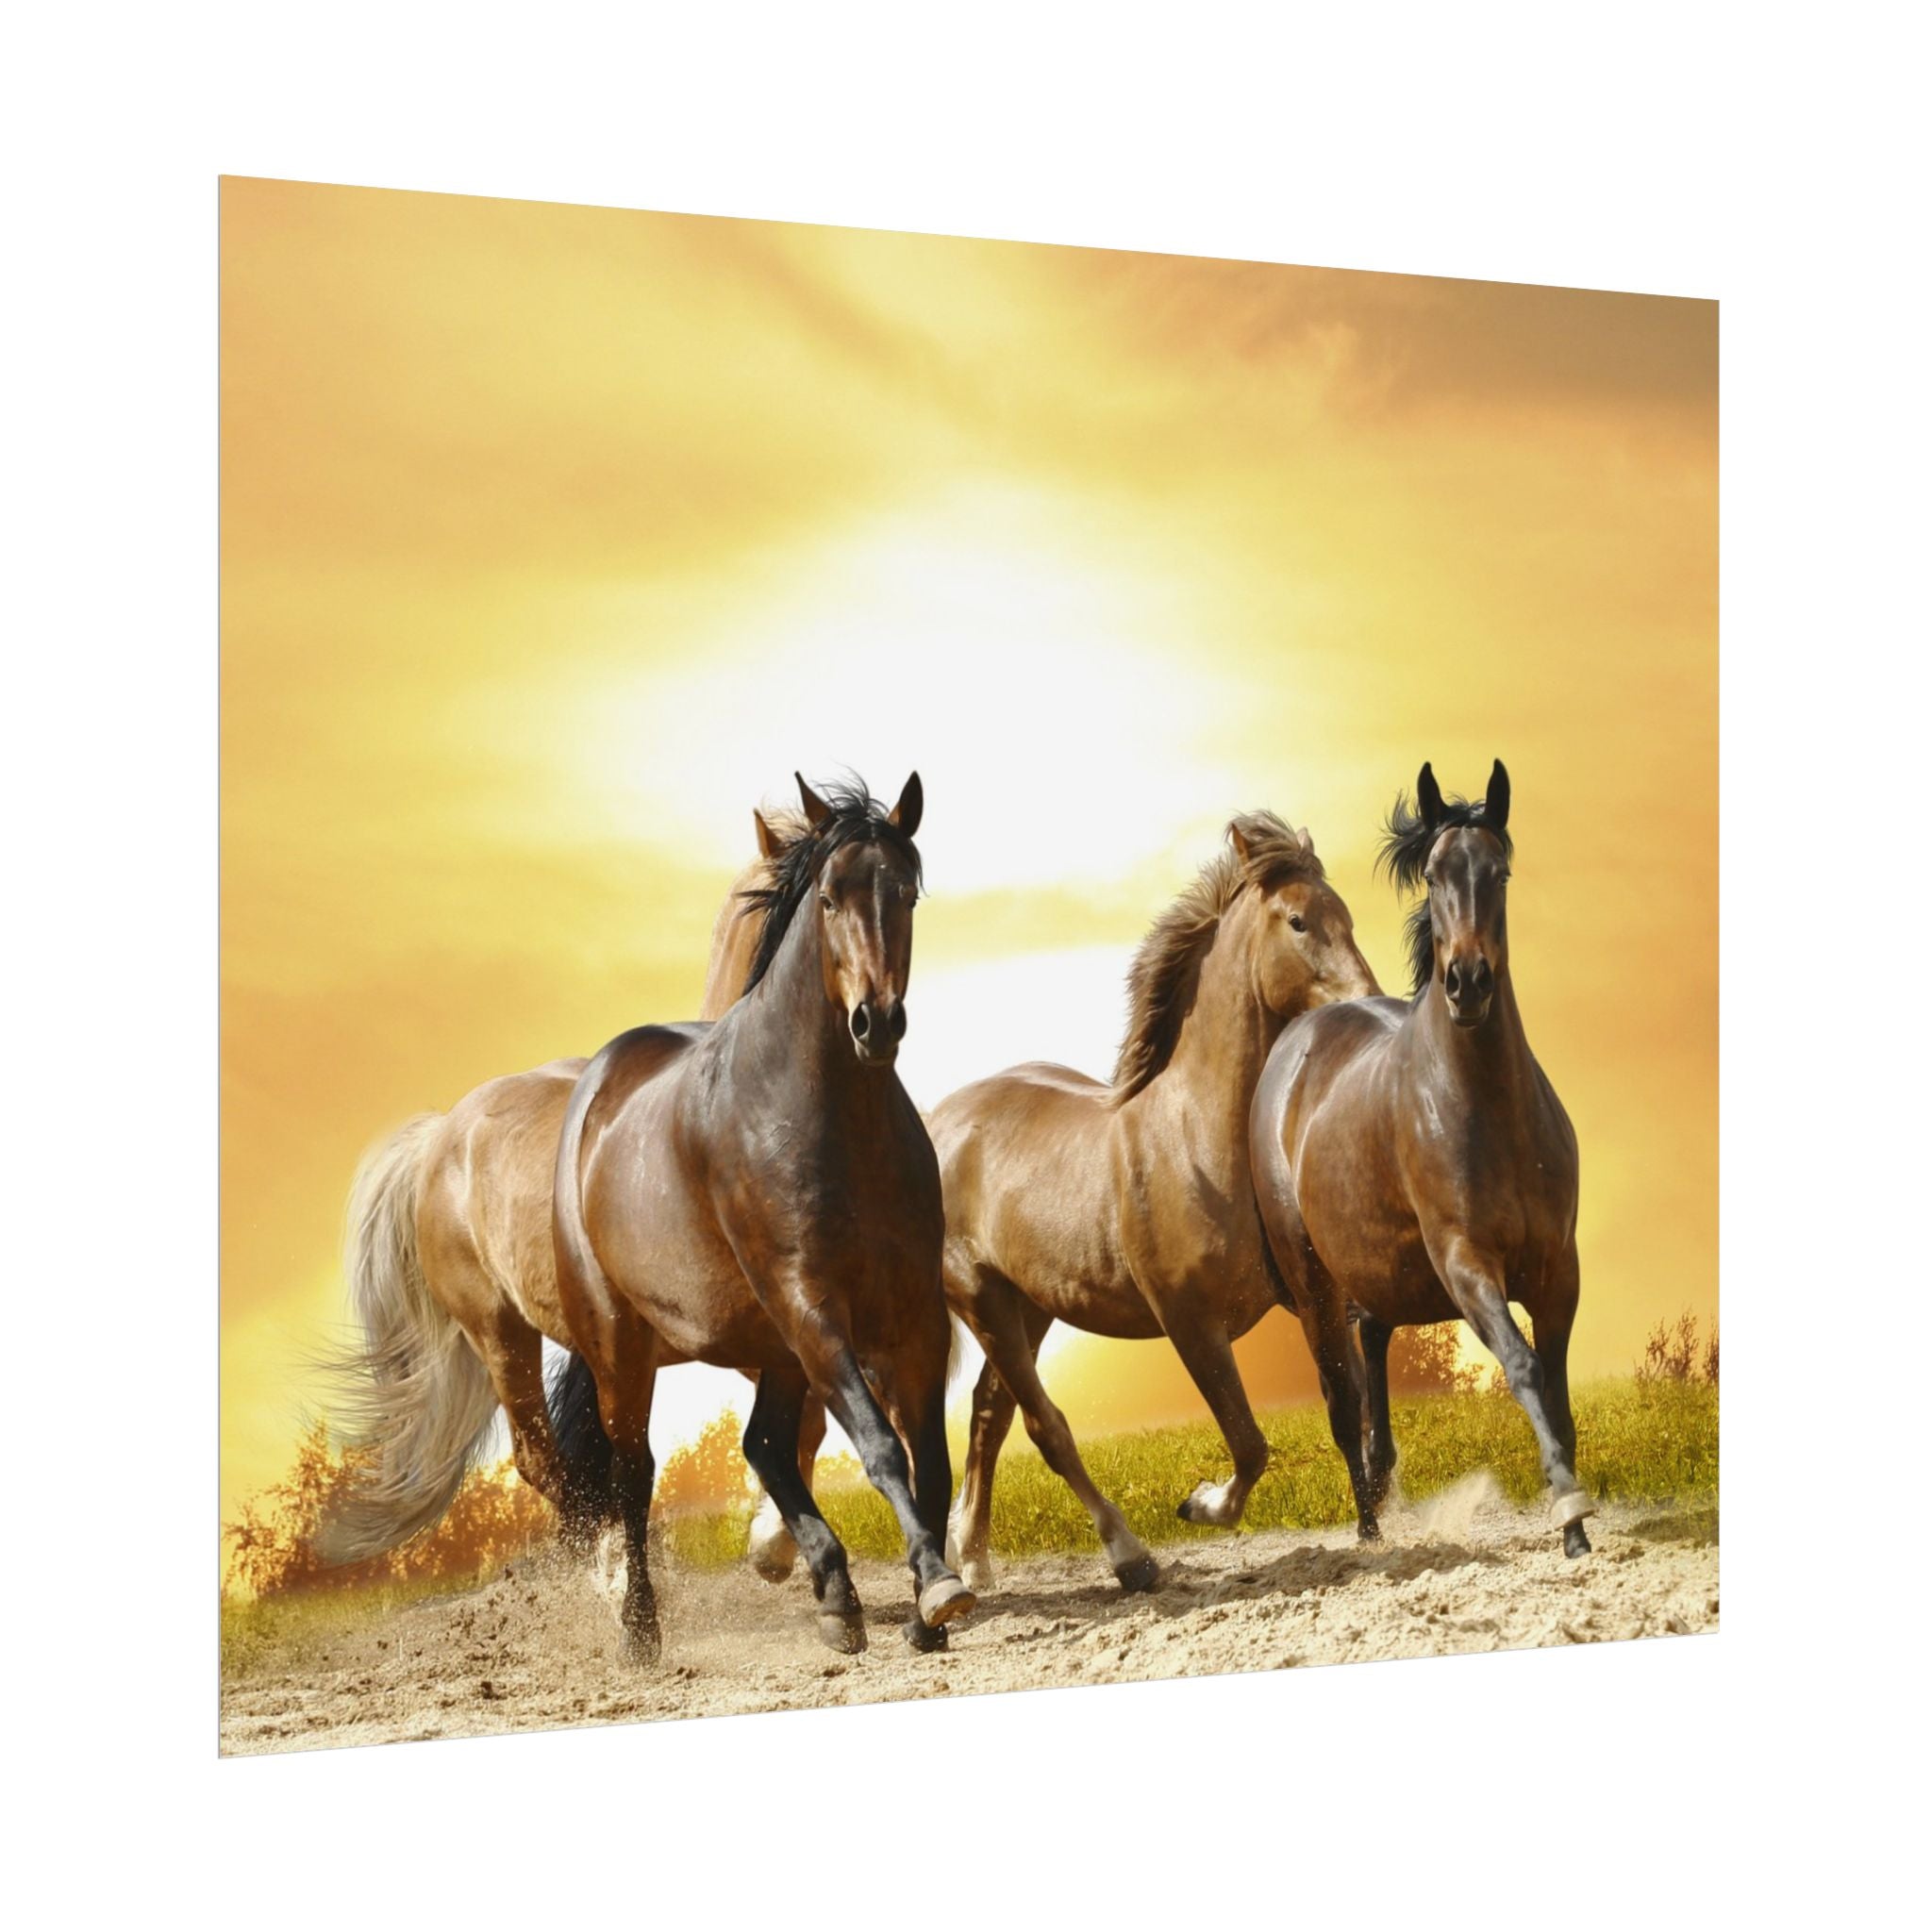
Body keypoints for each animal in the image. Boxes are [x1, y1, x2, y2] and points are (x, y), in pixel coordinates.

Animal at [550, 773, 973, 1663]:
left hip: (772, 1344)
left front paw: (927, 1608)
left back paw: (837, 1598)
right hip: (624, 1351)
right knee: (634, 1474)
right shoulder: (813, 1307)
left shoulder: (912, 1313)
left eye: (906, 892)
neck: (831, 1120)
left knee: (764, 1446)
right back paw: (642, 1633)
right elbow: (880, 1447)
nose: (876, 1023)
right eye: (829, 896)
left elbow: (930, 1460)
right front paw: (938, 1586)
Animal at [932, 813, 1378, 1595]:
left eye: (1345, 914)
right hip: (982, 1300)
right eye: (1298, 920)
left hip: (1028, 1307)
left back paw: (975, 1560)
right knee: (1046, 1427)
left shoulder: (1314, 1298)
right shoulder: (1189, 1322)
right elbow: (1249, 1443)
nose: (1368, 998)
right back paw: (1130, 1557)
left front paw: (1374, 1530)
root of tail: (934, 1122)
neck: (1198, 1140)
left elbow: (1344, 1406)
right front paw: (1199, 1504)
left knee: (989, 1415)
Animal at [1249, 760, 1592, 1556]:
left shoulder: (1558, 1268)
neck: (1491, 1110)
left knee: (1373, 1343)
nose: (1467, 983)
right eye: (1434, 874)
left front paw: (1576, 1524)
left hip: (1382, 1270)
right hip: (1313, 1282)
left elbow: (1558, 1383)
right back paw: (1370, 1528)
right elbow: (1525, 1368)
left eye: (1499, 871)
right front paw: (1570, 1510)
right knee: (1340, 1397)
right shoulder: (1466, 1263)